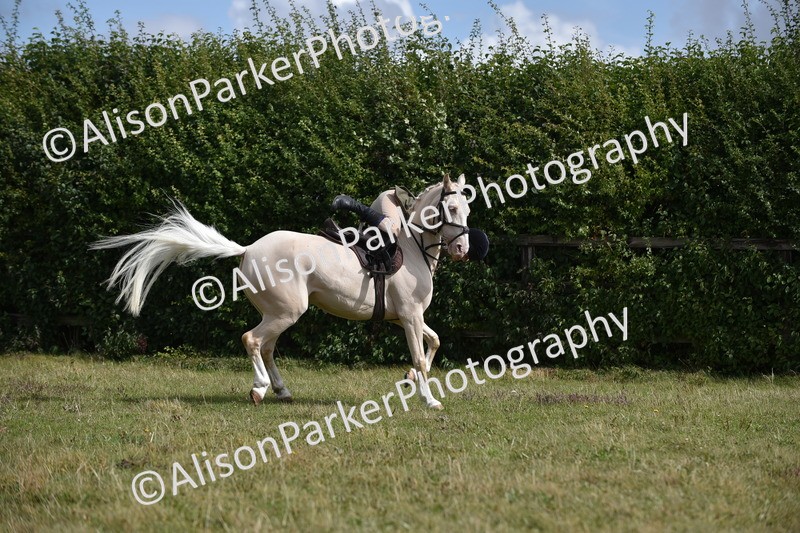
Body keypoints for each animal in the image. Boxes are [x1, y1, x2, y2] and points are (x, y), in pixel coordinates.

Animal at [91, 174, 471, 410]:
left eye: (468, 209)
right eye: (452, 209)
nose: (462, 250)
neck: (412, 246)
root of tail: (247, 249)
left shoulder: (405, 317)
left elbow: (434, 342)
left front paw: (409, 380)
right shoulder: (409, 316)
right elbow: (421, 355)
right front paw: (429, 399)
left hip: (277, 312)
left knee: (267, 347)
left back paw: (281, 391)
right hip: (287, 311)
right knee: (252, 340)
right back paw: (259, 389)